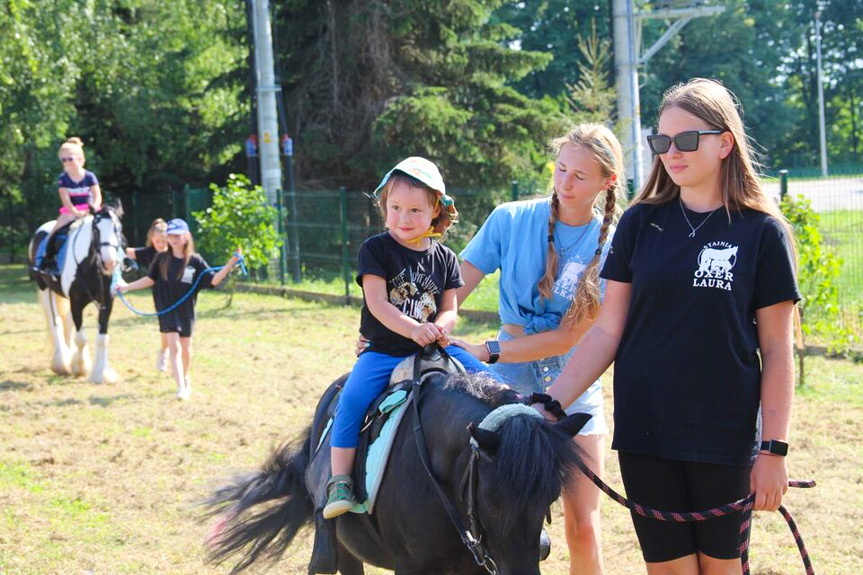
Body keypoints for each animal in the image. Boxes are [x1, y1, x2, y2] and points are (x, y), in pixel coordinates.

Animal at [28, 205, 125, 384]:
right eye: (96, 229)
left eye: (118, 228)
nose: (109, 263)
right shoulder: (77, 302)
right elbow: (81, 339)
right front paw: (80, 367)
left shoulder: (107, 303)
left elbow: (102, 338)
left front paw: (102, 374)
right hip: (45, 290)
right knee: (56, 322)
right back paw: (61, 362)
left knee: (66, 322)